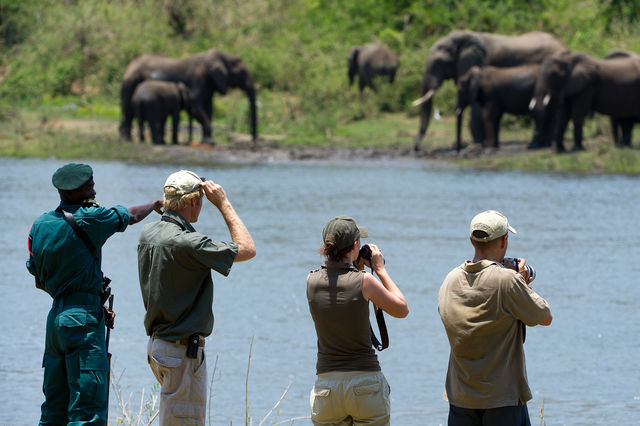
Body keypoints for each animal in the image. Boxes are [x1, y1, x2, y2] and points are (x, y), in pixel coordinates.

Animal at [121, 48, 256, 146]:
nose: (253, 145)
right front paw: (210, 142)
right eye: (242, 73)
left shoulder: (209, 84)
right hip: (131, 83)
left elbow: (208, 108)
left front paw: (205, 141)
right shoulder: (198, 80)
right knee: (128, 111)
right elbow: (198, 108)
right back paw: (127, 140)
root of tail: (128, 67)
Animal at [410, 30, 564, 151]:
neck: (464, 36)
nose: (416, 148)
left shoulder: (478, 63)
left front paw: (479, 142)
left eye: (439, 63)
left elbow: (477, 107)